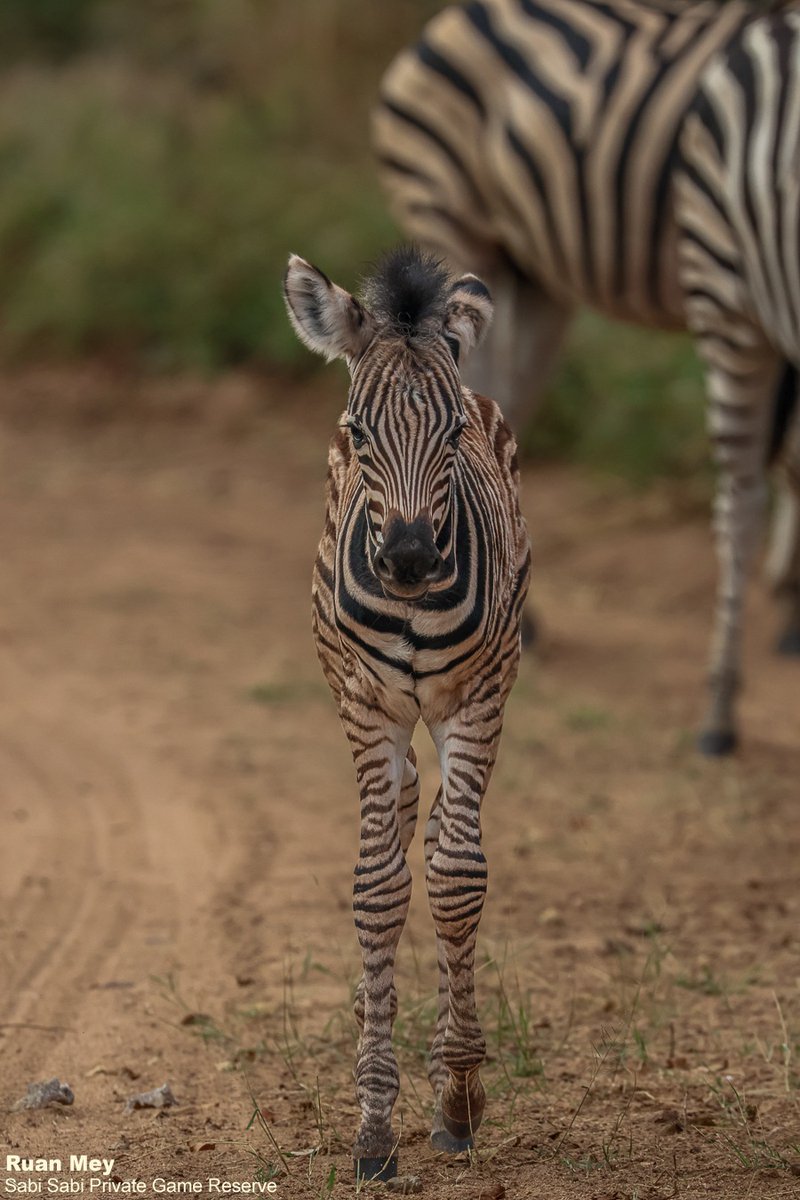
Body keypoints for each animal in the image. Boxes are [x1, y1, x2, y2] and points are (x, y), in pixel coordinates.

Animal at [283, 246, 530, 1181]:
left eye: (453, 435)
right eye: (360, 435)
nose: (412, 558)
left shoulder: (480, 695)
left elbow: (455, 879)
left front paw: (456, 1096)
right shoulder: (364, 703)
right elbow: (377, 886)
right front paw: (374, 1119)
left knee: (434, 835)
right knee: (395, 833)